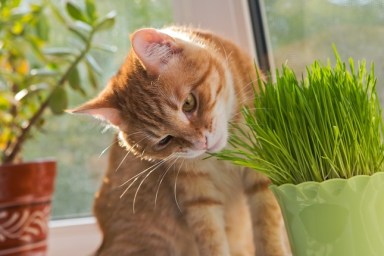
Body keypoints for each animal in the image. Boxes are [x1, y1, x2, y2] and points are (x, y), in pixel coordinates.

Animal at [72, 26, 290, 256]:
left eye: (188, 103)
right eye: (164, 140)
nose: (201, 143)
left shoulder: (264, 165)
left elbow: (267, 224)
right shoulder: (196, 195)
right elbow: (210, 237)